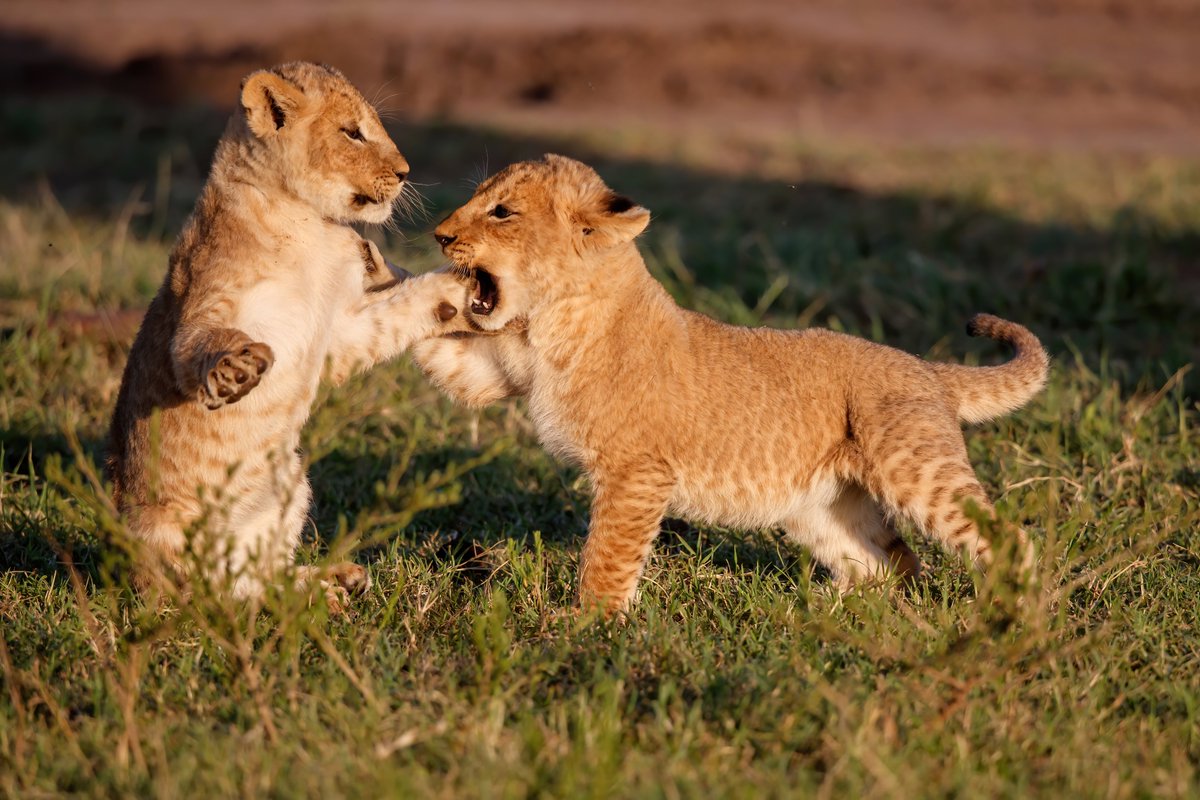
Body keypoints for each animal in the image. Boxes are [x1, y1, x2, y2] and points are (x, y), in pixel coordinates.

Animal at [107, 62, 475, 608]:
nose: (406, 172)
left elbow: (396, 313)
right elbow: (196, 346)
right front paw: (236, 371)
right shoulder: (205, 301)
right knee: (214, 598)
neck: (308, 226)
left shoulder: (337, 333)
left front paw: (460, 288)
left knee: (257, 579)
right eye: (352, 132)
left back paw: (332, 582)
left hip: (290, 485)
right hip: (167, 542)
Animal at [414, 154, 1048, 614]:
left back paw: (1015, 618)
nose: (438, 235)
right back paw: (817, 612)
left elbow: (608, 557)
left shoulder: (636, 473)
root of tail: (926, 365)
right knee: (890, 562)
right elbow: (445, 356)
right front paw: (396, 285)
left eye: (502, 212)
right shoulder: (495, 370)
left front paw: (588, 627)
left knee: (1008, 541)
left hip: (916, 470)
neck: (550, 321)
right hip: (820, 505)